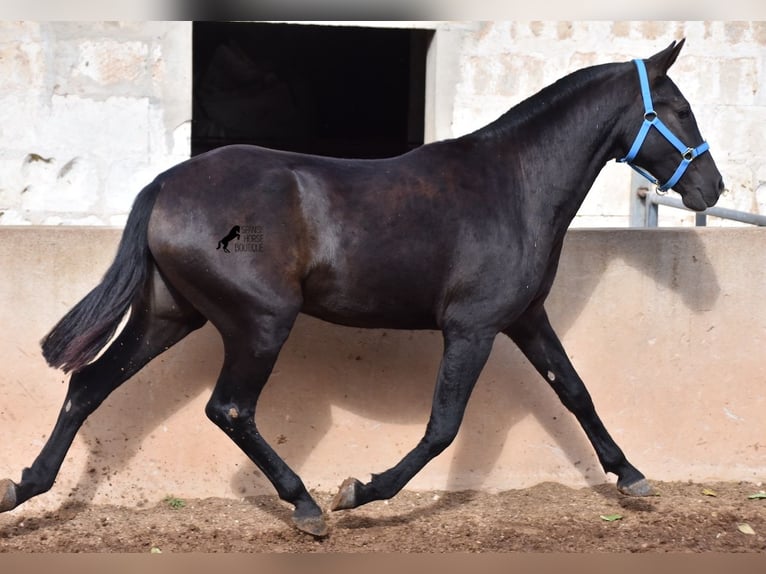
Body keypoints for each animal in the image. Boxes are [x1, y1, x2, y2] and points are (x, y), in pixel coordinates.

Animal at [0, 41, 728, 540]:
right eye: (679, 109)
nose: (711, 187)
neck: (514, 185)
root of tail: (163, 187)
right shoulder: (472, 327)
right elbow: (442, 427)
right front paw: (360, 490)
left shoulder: (525, 317)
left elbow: (575, 391)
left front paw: (631, 476)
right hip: (261, 322)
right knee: (228, 408)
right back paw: (306, 505)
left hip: (168, 316)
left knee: (88, 385)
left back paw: (23, 486)